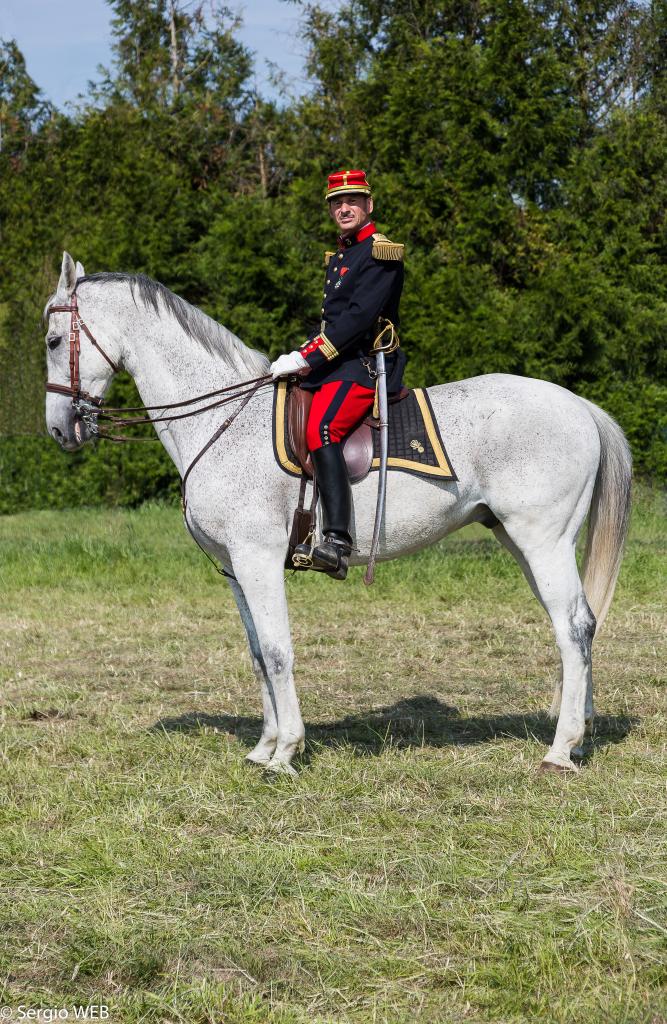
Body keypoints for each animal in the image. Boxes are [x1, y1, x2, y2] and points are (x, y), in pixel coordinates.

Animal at [45, 253, 631, 774]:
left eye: (52, 341)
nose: (60, 429)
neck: (224, 419)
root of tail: (579, 406)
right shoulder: (234, 568)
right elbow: (256, 653)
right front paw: (263, 746)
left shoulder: (257, 558)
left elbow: (277, 651)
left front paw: (285, 753)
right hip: (521, 541)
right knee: (577, 624)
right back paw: (578, 737)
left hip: (543, 540)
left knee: (573, 627)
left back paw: (560, 750)